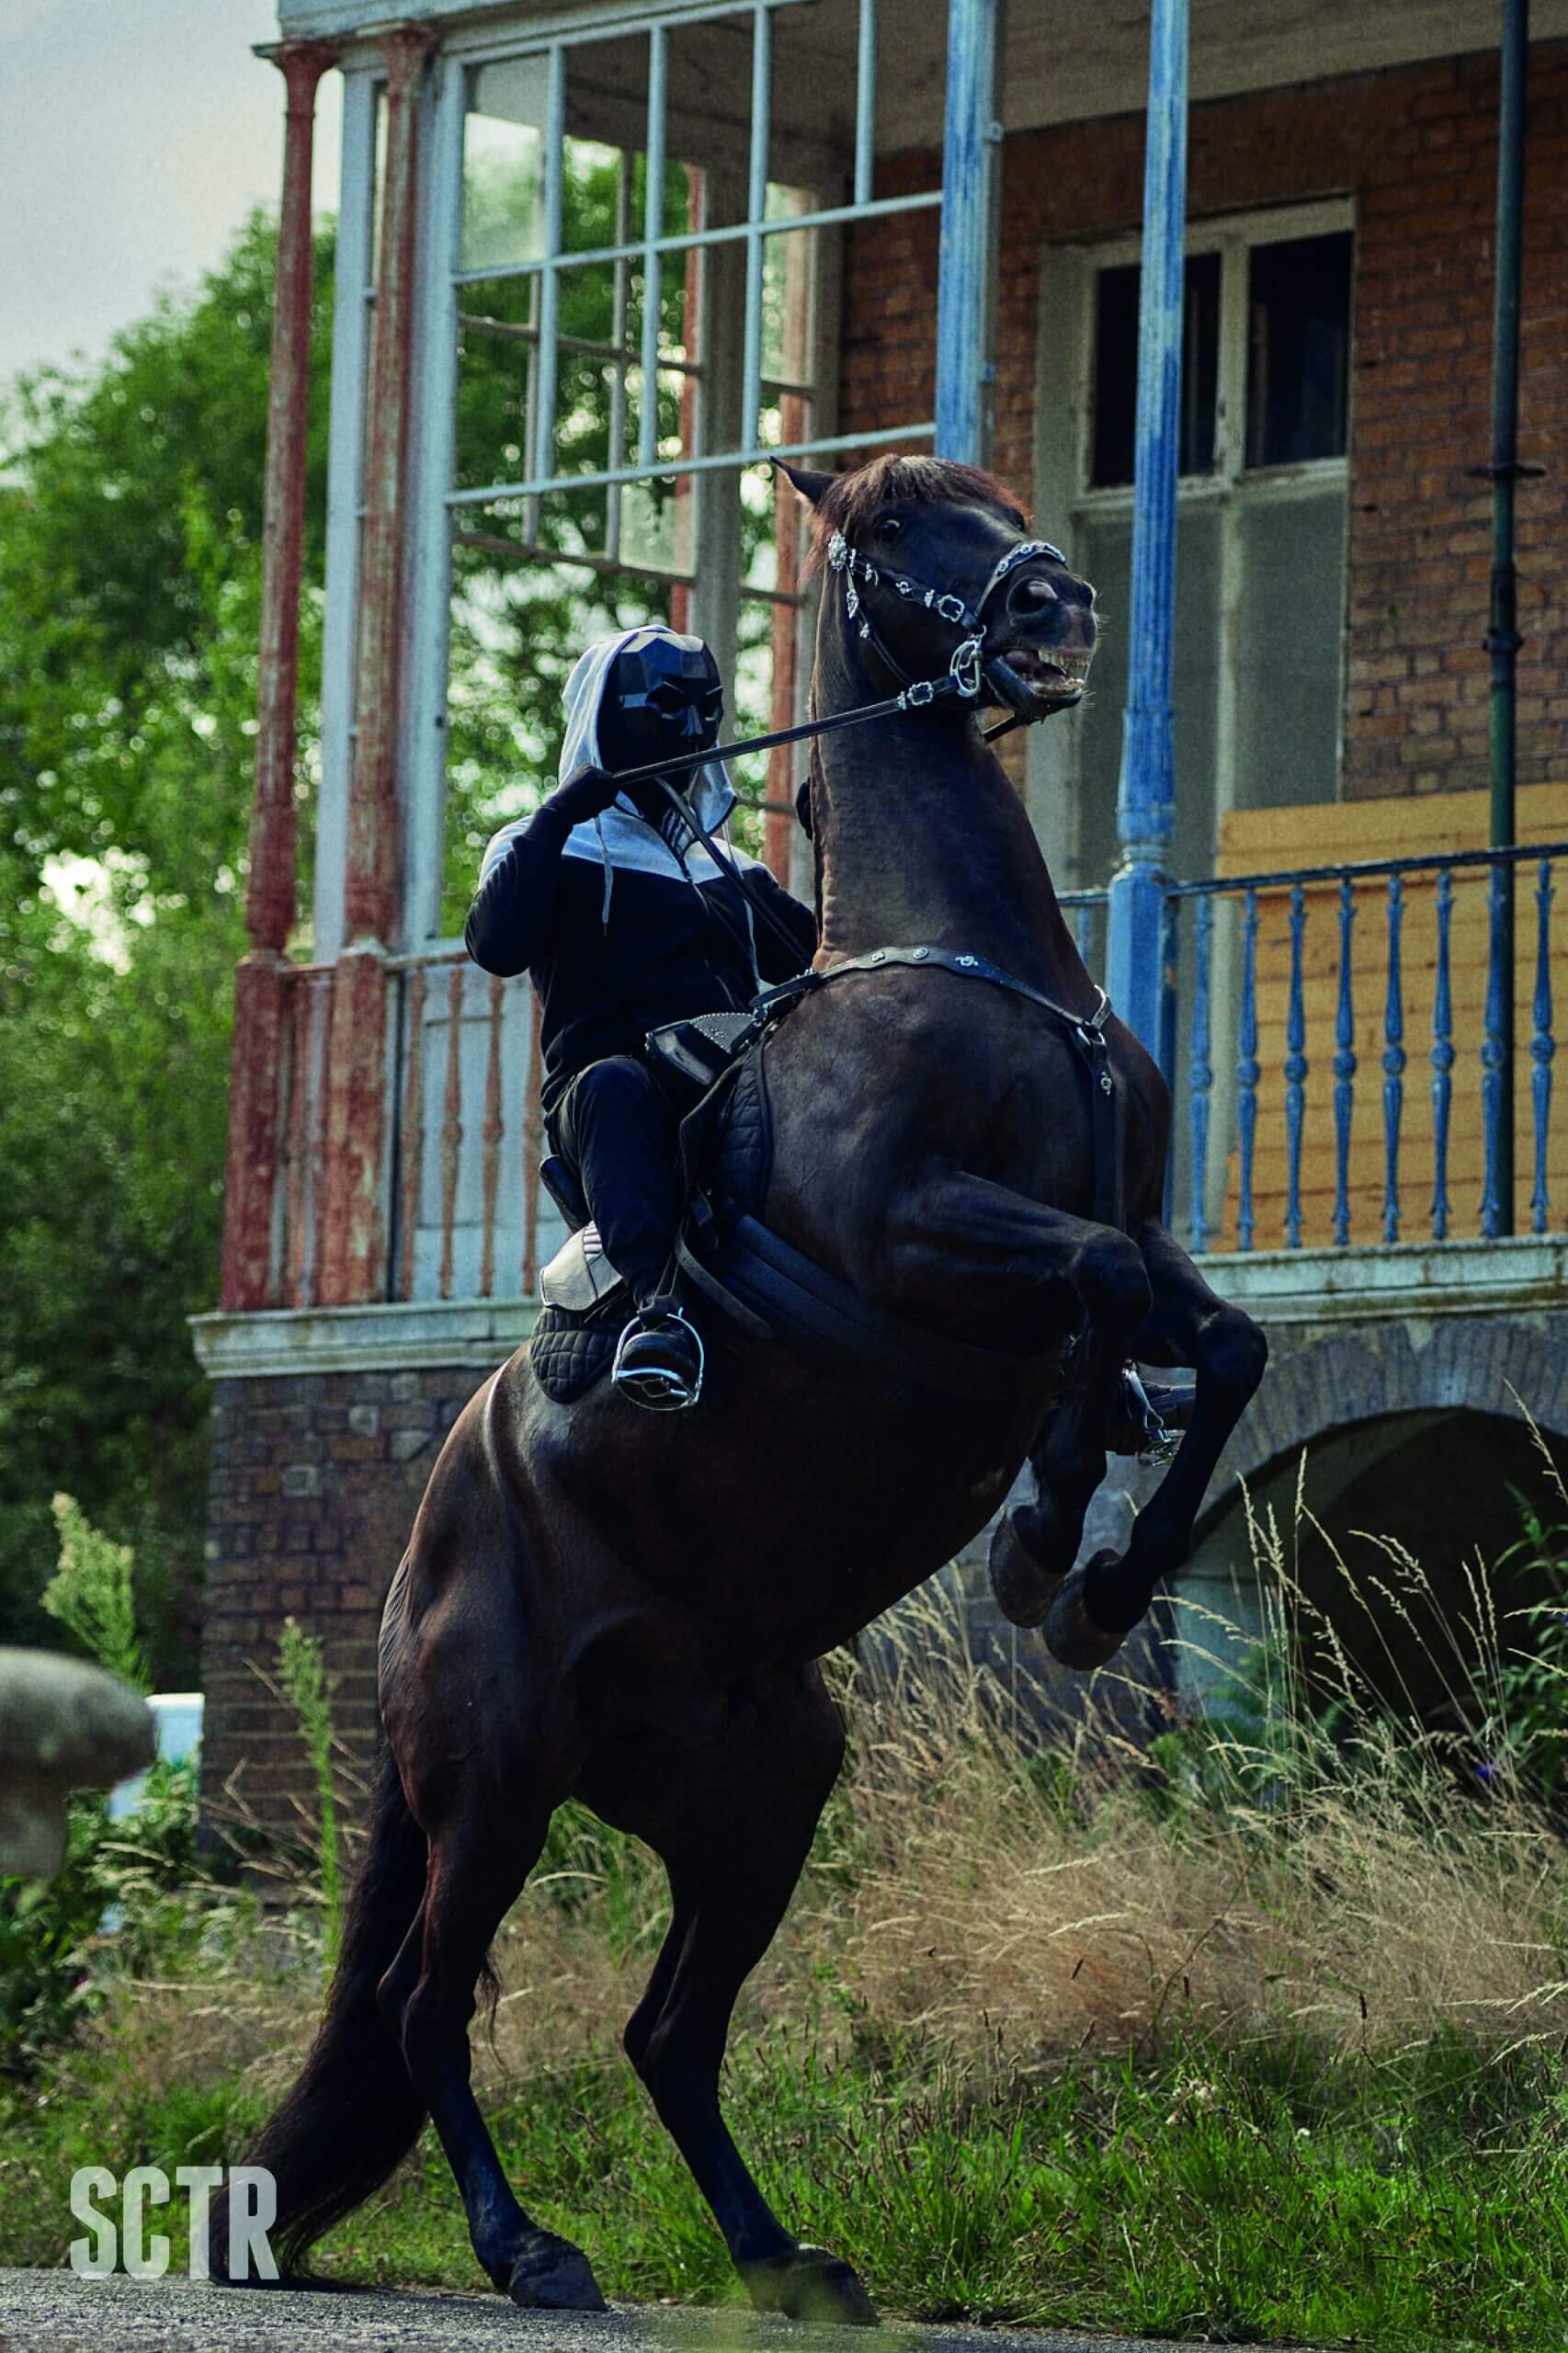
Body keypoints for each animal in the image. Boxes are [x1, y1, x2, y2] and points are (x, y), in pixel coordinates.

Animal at [229, 454, 1261, 2315]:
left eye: (988, 492)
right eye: (897, 527)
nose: (1056, 607)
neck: (990, 975)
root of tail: (422, 1555)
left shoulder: (1136, 1234)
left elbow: (1213, 1338)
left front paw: (1093, 1575)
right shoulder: (924, 1234)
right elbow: (1091, 1290)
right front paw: (1046, 1543)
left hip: (757, 1793)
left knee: (668, 2031)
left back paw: (782, 2259)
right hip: (493, 1776)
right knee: (427, 2005)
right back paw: (530, 2250)